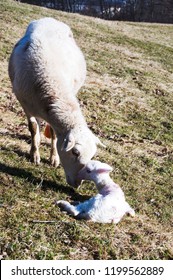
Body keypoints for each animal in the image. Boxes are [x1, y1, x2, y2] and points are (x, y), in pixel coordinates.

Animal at [8, 18, 104, 187]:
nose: (78, 184)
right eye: (75, 152)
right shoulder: (25, 104)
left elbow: (53, 133)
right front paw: (34, 154)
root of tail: (49, 19)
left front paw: (54, 158)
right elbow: (33, 128)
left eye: (92, 155)